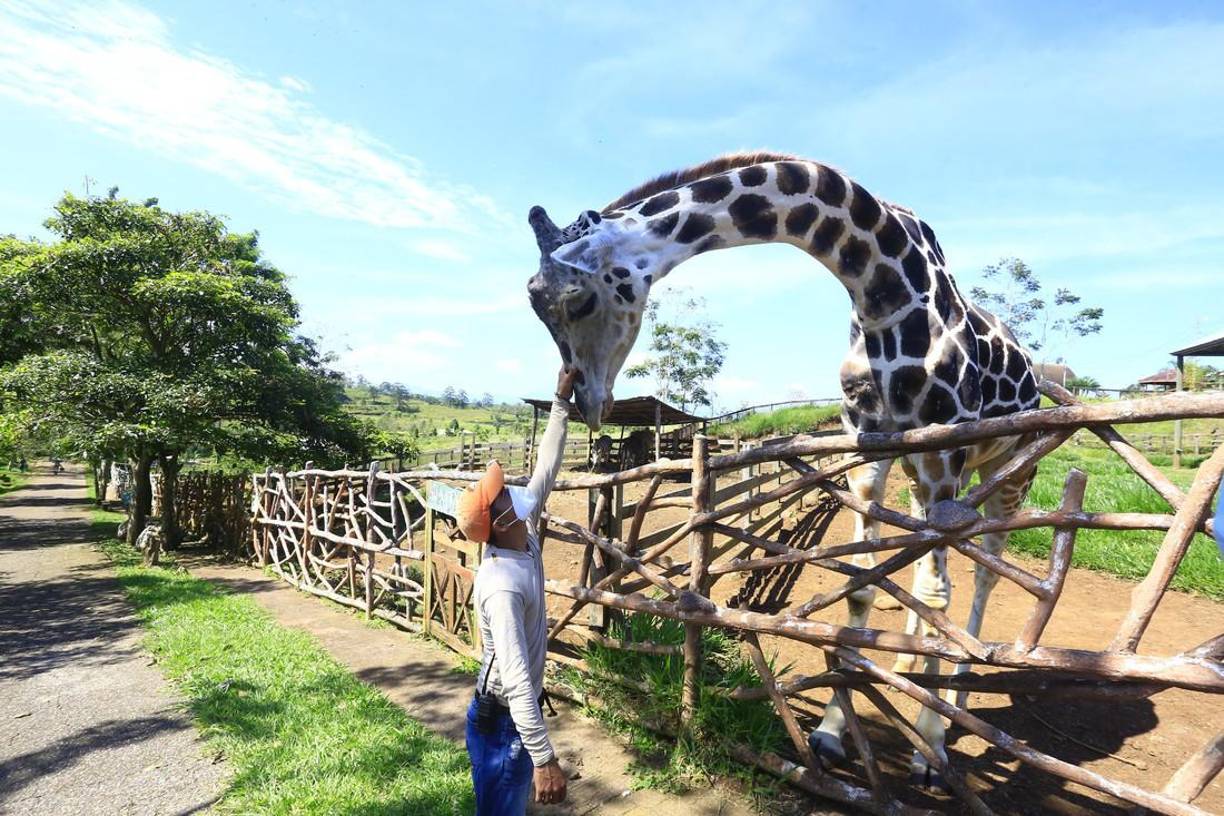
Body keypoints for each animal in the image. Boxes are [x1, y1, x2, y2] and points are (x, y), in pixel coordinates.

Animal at [525, 152, 1041, 791]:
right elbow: (861, 585)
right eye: (536, 300)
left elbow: (937, 593)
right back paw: (905, 665)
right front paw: (830, 734)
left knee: (983, 577)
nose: (588, 401)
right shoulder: (871, 445)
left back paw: (946, 716)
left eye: (577, 299)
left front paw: (932, 750)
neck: (881, 287)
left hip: (1005, 472)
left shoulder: (945, 446)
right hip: (933, 475)